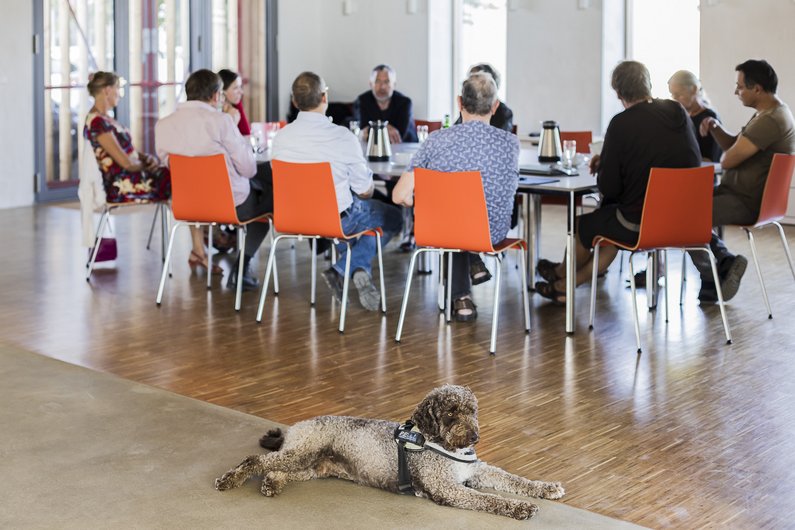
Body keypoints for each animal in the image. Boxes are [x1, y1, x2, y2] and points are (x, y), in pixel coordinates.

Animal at [216, 382, 564, 516]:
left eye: (471, 410)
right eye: (451, 413)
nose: (474, 437)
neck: (437, 442)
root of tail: (295, 427)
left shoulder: (477, 470)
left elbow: (514, 480)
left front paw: (545, 488)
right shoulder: (449, 488)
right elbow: (489, 499)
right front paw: (520, 508)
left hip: (310, 466)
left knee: (276, 469)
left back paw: (271, 484)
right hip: (301, 453)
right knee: (255, 459)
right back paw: (230, 479)